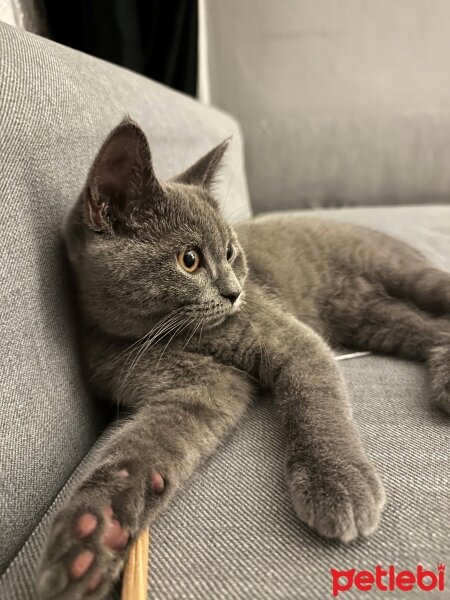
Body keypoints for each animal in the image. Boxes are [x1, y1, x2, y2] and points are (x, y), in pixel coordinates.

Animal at [36, 119, 450, 596]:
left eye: (231, 253)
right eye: (190, 260)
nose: (235, 293)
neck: (169, 337)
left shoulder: (289, 337)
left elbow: (315, 401)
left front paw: (336, 482)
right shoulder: (200, 387)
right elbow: (143, 447)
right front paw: (93, 534)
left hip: (405, 276)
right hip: (370, 317)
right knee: (429, 328)